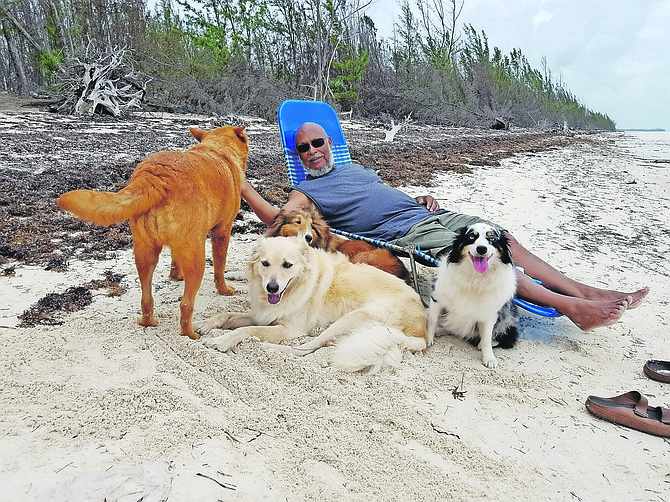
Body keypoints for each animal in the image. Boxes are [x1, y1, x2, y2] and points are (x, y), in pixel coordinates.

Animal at [57, 124, 249, 342]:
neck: (217, 149)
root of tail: (155, 176)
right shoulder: (222, 232)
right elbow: (219, 267)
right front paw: (224, 289)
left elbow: (174, 260)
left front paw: (175, 274)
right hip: (196, 259)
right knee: (185, 305)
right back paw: (190, 333)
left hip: (144, 253)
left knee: (146, 298)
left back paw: (147, 321)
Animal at [194, 235, 428, 372]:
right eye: (265, 263)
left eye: (287, 265)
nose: (272, 288)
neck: (297, 286)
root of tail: (423, 332)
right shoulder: (263, 314)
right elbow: (225, 315)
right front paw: (202, 325)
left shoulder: (288, 329)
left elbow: (246, 330)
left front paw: (221, 341)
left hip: (354, 317)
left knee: (305, 348)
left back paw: (266, 347)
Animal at [428, 224, 524, 368]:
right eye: (471, 237)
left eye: (492, 239)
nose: (482, 249)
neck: (475, 278)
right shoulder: (437, 297)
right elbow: (432, 321)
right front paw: (428, 338)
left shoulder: (490, 313)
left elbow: (487, 337)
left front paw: (489, 357)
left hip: (507, 312)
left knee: (505, 337)